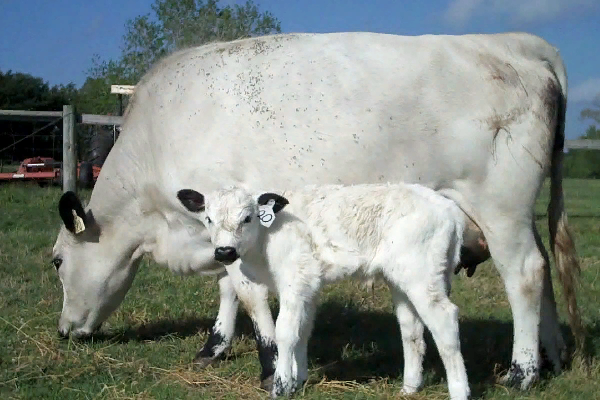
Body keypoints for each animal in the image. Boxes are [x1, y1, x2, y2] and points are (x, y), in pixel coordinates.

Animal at [176, 184, 472, 400]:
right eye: (208, 219)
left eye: (247, 218)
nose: (224, 252)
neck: (264, 241)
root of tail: (449, 208)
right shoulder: (309, 285)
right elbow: (303, 330)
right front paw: (298, 380)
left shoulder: (294, 281)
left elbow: (285, 332)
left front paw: (280, 386)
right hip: (403, 278)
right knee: (411, 329)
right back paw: (409, 387)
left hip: (422, 275)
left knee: (445, 321)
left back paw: (459, 392)